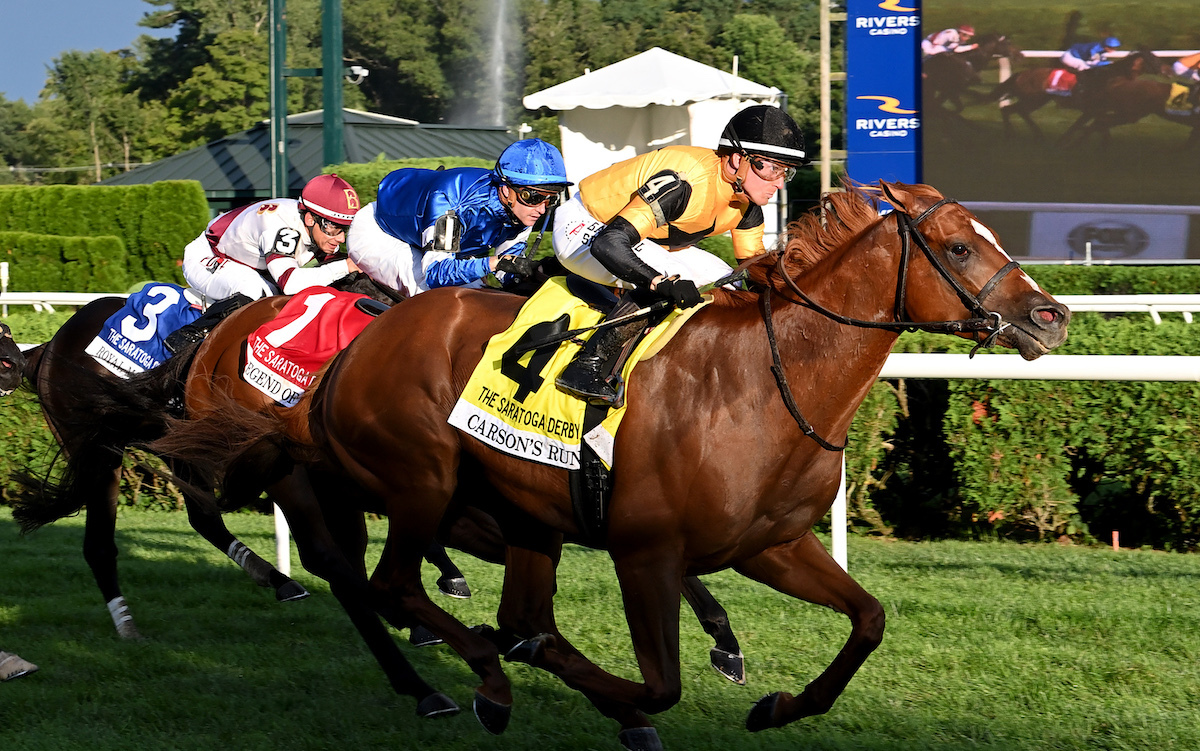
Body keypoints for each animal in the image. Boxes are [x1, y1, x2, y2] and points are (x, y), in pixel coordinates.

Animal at [147, 178, 1070, 743]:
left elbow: (869, 619)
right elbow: (657, 684)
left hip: (521, 515)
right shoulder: (645, 551)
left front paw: (777, 705)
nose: (1051, 317)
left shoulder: (770, 544)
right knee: (383, 582)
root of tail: (352, 352)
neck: (765, 380)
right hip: (415, 481)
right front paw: (628, 701)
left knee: (507, 609)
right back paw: (470, 678)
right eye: (959, 249)